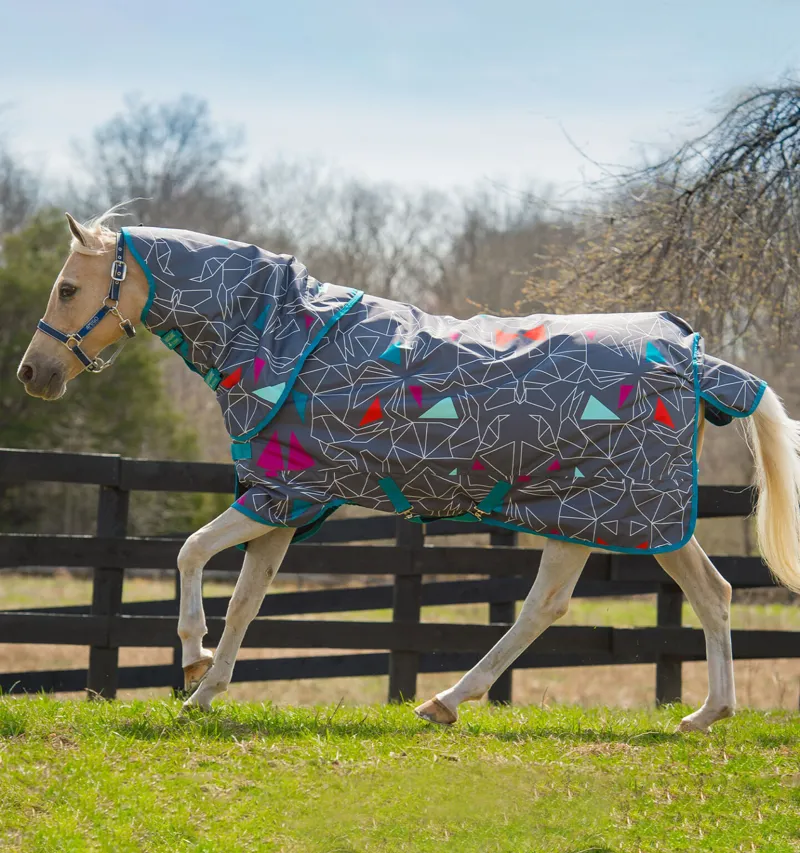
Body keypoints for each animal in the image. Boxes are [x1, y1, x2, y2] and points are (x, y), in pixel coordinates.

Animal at [17, 213, 800, 732]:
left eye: (66, 289)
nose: (33, 374)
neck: (279, 335)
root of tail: (692, 357)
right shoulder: (287, 505)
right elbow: (245, 602)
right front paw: (205, 691)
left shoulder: (278, 496)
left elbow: (187, 554)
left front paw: (189, 661)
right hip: (605, 516)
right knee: (694, 595)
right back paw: (703, 714)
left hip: (616, 511)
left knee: (577, 603)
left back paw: (448, 702)